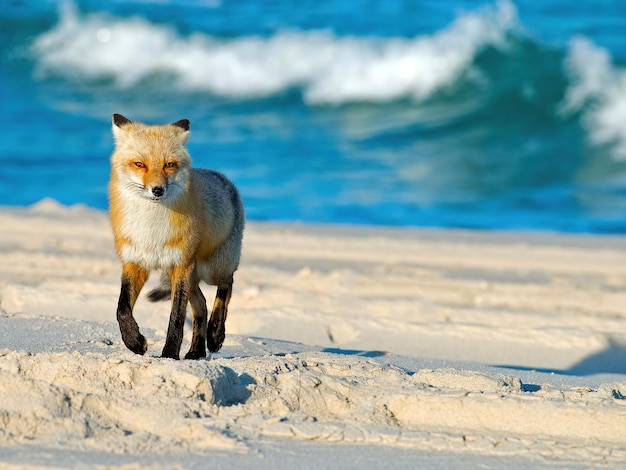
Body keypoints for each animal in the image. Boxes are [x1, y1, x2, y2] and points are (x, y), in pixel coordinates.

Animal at [107, 114, 244, 360]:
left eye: (169, 165)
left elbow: (177, 318)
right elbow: (121, 309)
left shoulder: (181, 264)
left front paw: (169, 354)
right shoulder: (135, 262)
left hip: (211, 269)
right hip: (187, 276)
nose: (157, 190)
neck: (151, 230)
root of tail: (223, 178)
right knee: (202, 305)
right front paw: (134, 341)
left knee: (226, 286)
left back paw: (216, 334)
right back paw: (196, 351)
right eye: (140, 164)